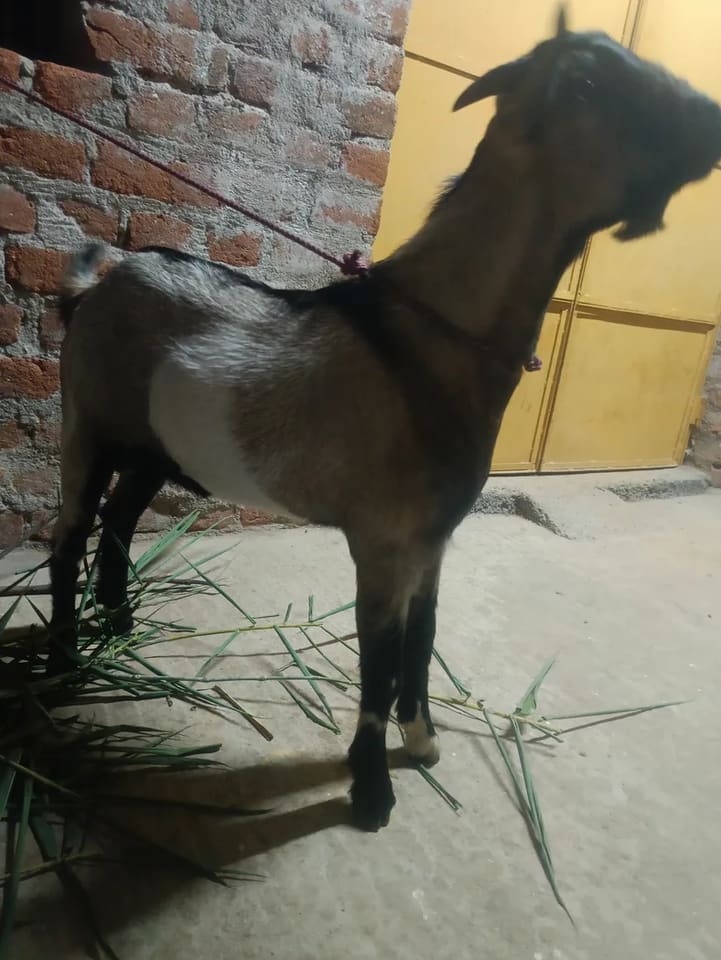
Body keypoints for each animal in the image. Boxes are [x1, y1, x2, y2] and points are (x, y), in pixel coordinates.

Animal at [48, 13, 721, 830]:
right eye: (593, 82)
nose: (711, 121)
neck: (424, 342)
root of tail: (102, 279)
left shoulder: (431, 539)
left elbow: (421, 638)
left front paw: (423, 742)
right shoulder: (382, 539)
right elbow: (380, 655)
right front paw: (372, 791)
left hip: (154, 446)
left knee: (118, 523)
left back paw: (120, 627)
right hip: (85, 425)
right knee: (69, 536)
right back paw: (65, 670)